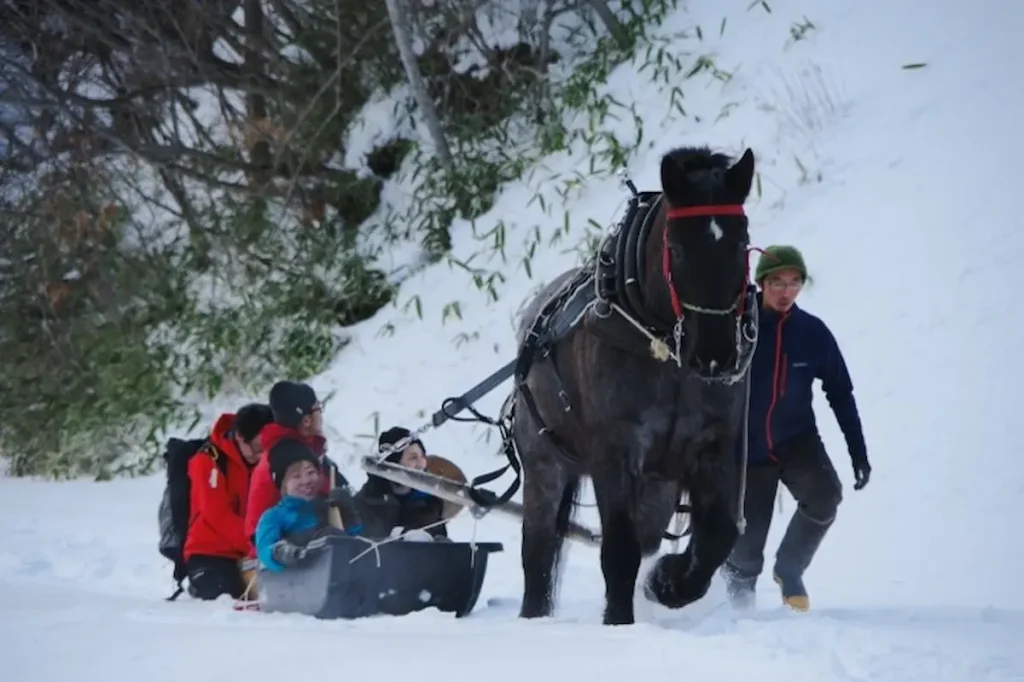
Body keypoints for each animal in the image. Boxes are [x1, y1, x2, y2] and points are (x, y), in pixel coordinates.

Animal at [512, 146, 761, 622]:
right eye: (677, 248)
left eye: (741, 243)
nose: (716, 354)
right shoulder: (617, 452)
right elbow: (619, 552)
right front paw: (620, 622)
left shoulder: (718, 444)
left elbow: (719, 534)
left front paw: (668, 582)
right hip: (544, 465)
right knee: (537, 550)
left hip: (658, 484)